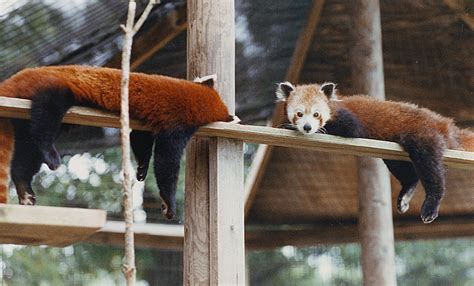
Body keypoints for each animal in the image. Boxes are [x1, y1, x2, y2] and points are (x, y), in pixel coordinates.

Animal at [0, 66, 231, 219]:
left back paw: (24, 188)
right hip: (52, 88)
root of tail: (19, 77)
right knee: (45, 120)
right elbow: (166, 164)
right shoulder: (176, 125)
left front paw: (141, 168)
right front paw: (169, 203)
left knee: (27, 153)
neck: (195, 96)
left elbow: (140, 139)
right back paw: (49, 153)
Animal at [276, 81, 472, 225]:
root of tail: (442, 122)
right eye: (299, 114)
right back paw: (406, 192)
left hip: (422, 133)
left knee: (430, 167)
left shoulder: (347, 118)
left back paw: (431, 204)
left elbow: (350, 128)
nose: (307, 127)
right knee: (406, 172)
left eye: (316, 114)